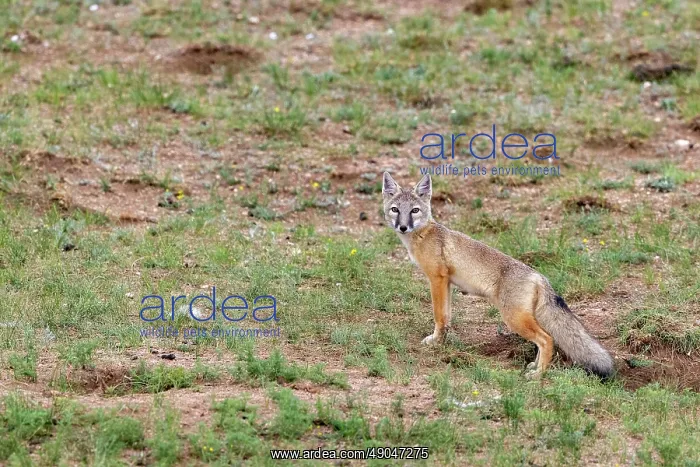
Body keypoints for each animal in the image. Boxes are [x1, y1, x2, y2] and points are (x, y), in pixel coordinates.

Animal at [382, 172, 614, 378]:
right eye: (395, 209)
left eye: (414, 210)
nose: (403, 227)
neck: (423, 236)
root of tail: (540, 277)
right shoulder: (446, 283)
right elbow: (446, 316)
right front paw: (441, 341)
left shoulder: (436, 279)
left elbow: (439, 315)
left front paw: (435, 341)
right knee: (544, 341)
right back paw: (534, 366)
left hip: (514, 319)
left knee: (547, 339)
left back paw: (538, 375)